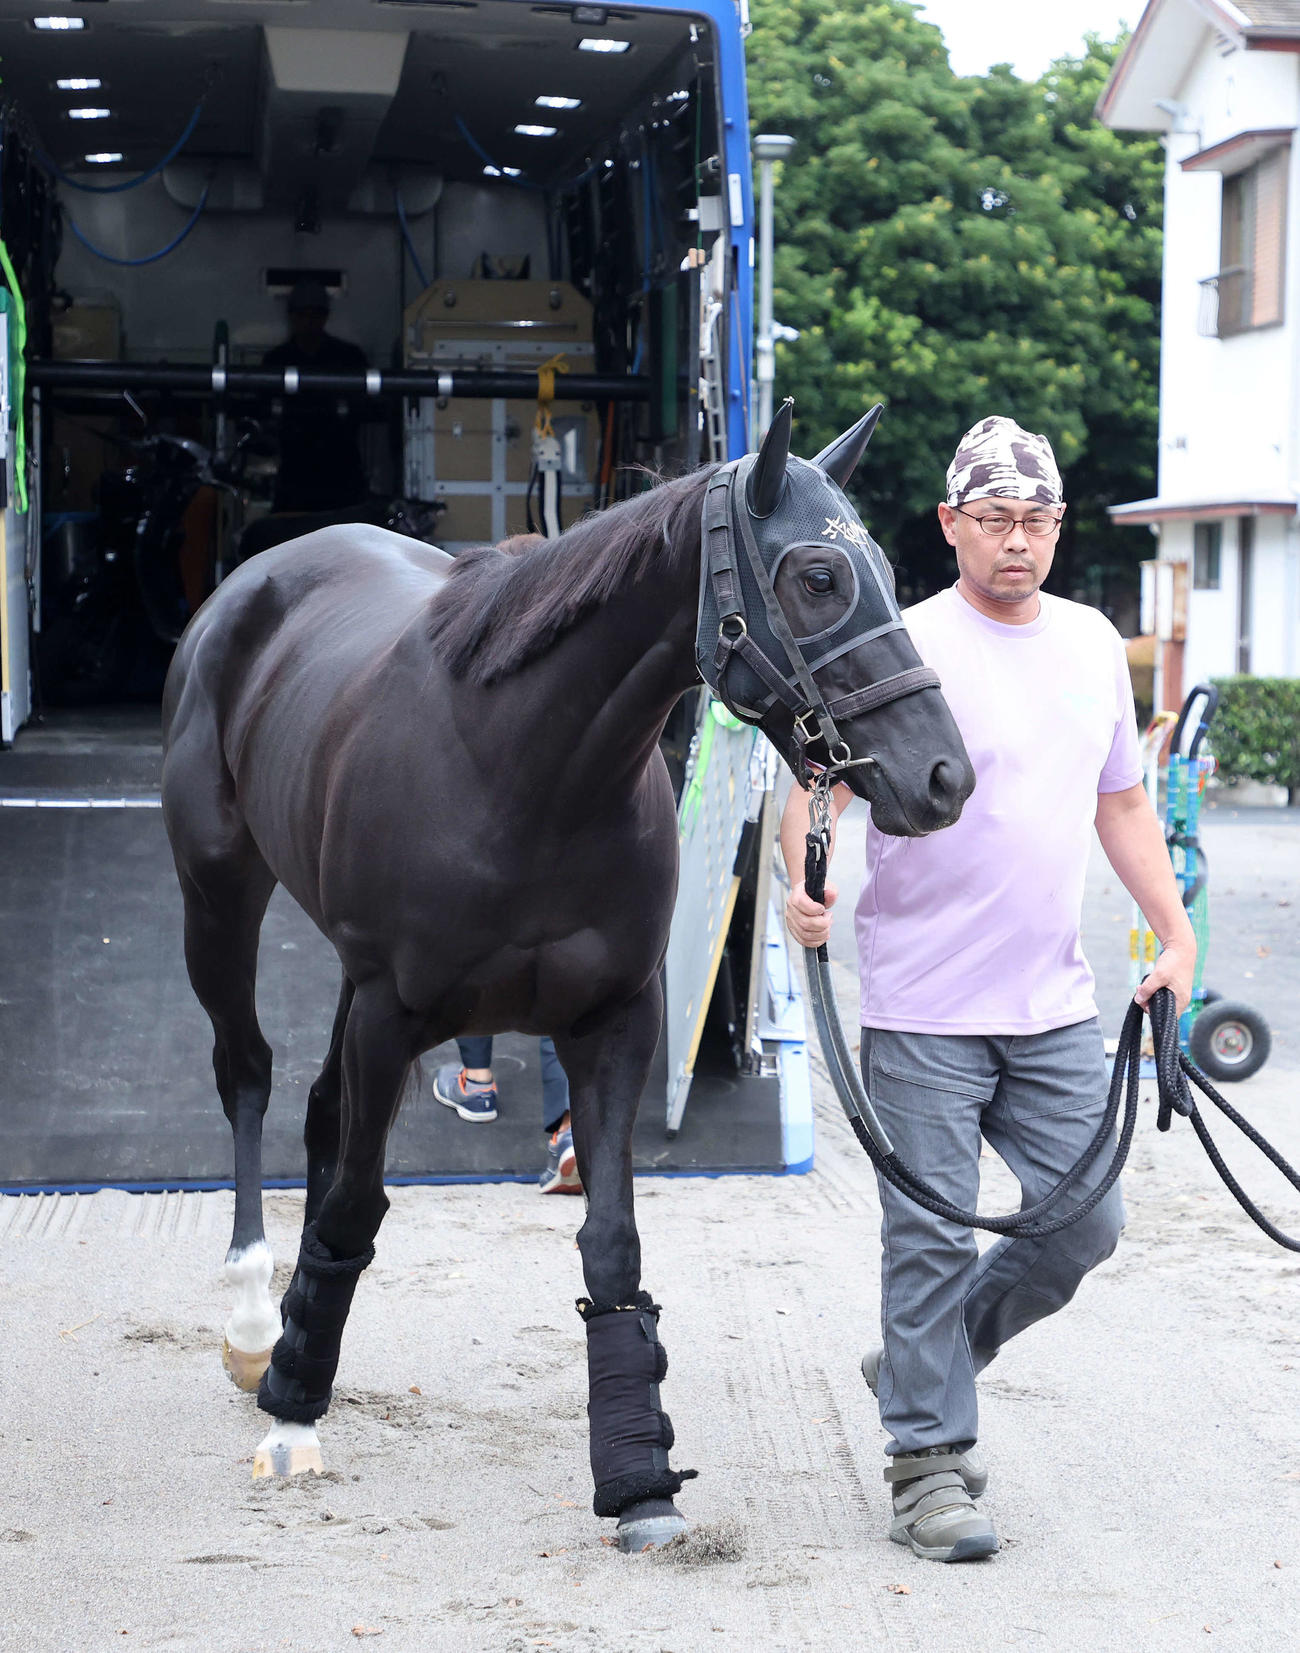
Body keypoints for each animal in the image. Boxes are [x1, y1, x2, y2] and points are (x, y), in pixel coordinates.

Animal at [160, 399, 975, 1551]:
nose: (943, 777)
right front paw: (290, 1417)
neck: (519, 769)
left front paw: (638, 1483)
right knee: (248, 1076)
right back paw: (249, 1326)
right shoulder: (391, 1014)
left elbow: (611, 1245)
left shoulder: (611, 1023)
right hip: (220, 893)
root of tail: (259, 582)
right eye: (818, 575)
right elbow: (357, 1205)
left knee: (318, 1110)